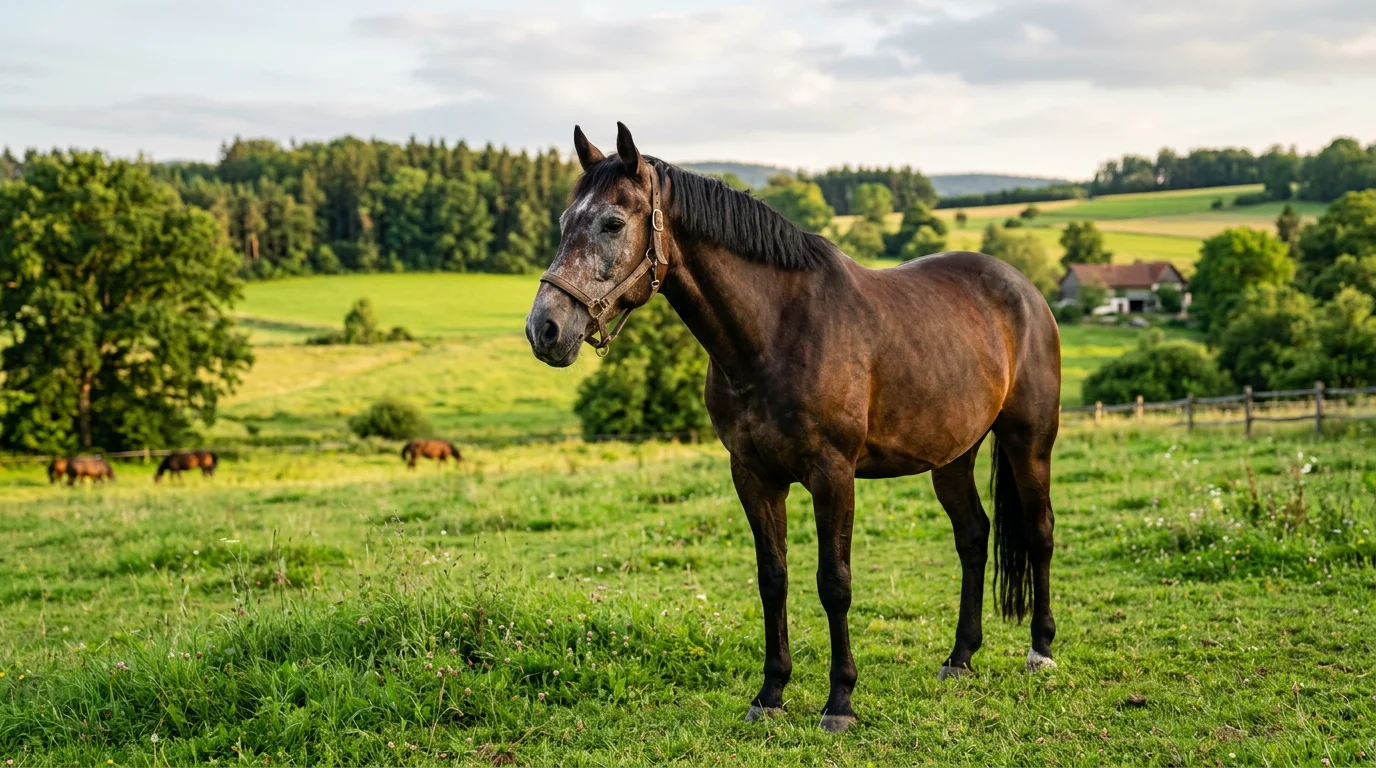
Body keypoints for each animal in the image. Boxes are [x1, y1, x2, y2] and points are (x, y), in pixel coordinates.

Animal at [526, 124, 1062, 733]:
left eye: (613, 223)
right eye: (565, 221)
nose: (545, 329)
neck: (777, 330)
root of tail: (1024, 290)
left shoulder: (833, 475)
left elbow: (835, 583)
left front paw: (840, 701)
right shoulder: (754, 475)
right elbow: (773, 578)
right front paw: (771, 694)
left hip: (1029, 442)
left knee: (1040, 531)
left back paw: (1040, 650)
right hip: (952, 456)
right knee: (973, 536)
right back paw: (960, 657)